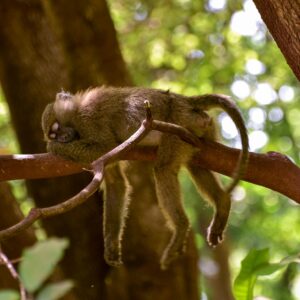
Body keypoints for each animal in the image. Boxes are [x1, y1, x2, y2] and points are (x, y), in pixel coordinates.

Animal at [41, 86, 248, 270]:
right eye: (53, 133)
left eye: (56, 129)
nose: (61, 139)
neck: (75, 111)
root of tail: (182, 100)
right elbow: (116, 183)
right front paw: (111, 246)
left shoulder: (87, 119)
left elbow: (105, 146)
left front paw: (54, 148)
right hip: (197, 128)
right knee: (196, 165)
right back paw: (222, 204)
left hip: (178, 124)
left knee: (163, 169)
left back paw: (181, 226)